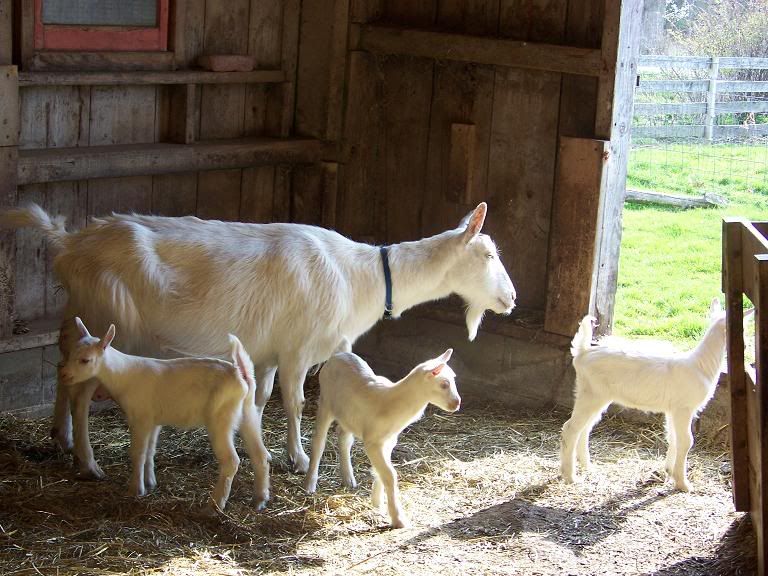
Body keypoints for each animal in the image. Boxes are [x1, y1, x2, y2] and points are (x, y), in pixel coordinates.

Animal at [1, 202, 515, 478]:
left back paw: (60, 438)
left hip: (78, 319)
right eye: (488, 254)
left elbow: (264, 398)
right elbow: (296, 402)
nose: (511, 298)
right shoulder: (298, 349)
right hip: (107, 329)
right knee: (81, 393)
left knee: (64, 376)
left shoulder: (268, 351)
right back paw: (87, 462)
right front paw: (298, 457)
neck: (359, 275)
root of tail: (68, 244)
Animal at [59, 318, 270, 511]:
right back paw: (259, 500)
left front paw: (135, 489)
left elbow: (137, 453)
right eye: (70, 354)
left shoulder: (140, 417)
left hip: (221, 418)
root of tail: (241, 374)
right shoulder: (153, 421)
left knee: (231, 461)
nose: (63, 375)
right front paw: (150, 482)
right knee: (260, 455)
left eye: (85, 360)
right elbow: (150, 451)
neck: (123, 374)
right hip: (248, 414)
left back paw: (214, 505)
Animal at [303, 343, 460, 528]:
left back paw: (348, 478)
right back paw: (309, 484)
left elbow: (382, 471)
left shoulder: (389, 441)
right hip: (326, 402)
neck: (392, 403)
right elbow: (390, 474)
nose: (457, 403)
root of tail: (339, 354)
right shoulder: (373, 442)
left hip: (349, 415)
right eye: (444, 384)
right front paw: (398, 519)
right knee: (319, 440)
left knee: (344, 438)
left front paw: (377, 502)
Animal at [560, 298, 745, 491]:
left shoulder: (673, 409)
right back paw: (570, 476)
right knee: (571, 428)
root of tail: (582, 352)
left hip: (594, 395)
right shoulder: (684, 408)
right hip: (592, 394)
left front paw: (669, 471)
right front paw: (683, 483)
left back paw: (587, 466)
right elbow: (686, 440)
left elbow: (673, 438)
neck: (701, 365)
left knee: (585, 427)